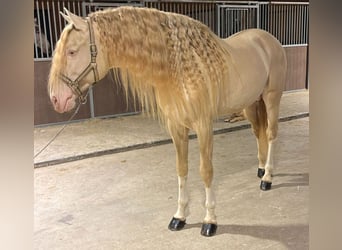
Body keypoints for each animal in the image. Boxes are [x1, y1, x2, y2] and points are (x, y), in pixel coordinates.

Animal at [47, 5, 286, 236]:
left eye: (71, 51)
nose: (57, 100)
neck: (180, 68)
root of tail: (268, 40)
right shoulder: (176, 127)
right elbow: (181, 169)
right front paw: (179, 217)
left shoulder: (203, 126)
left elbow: (206, 171)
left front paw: (210, 221)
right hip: (251, 104)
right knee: (258, 133)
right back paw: (261, 169)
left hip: (271, 98)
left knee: (271, 134)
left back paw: (267, 179)